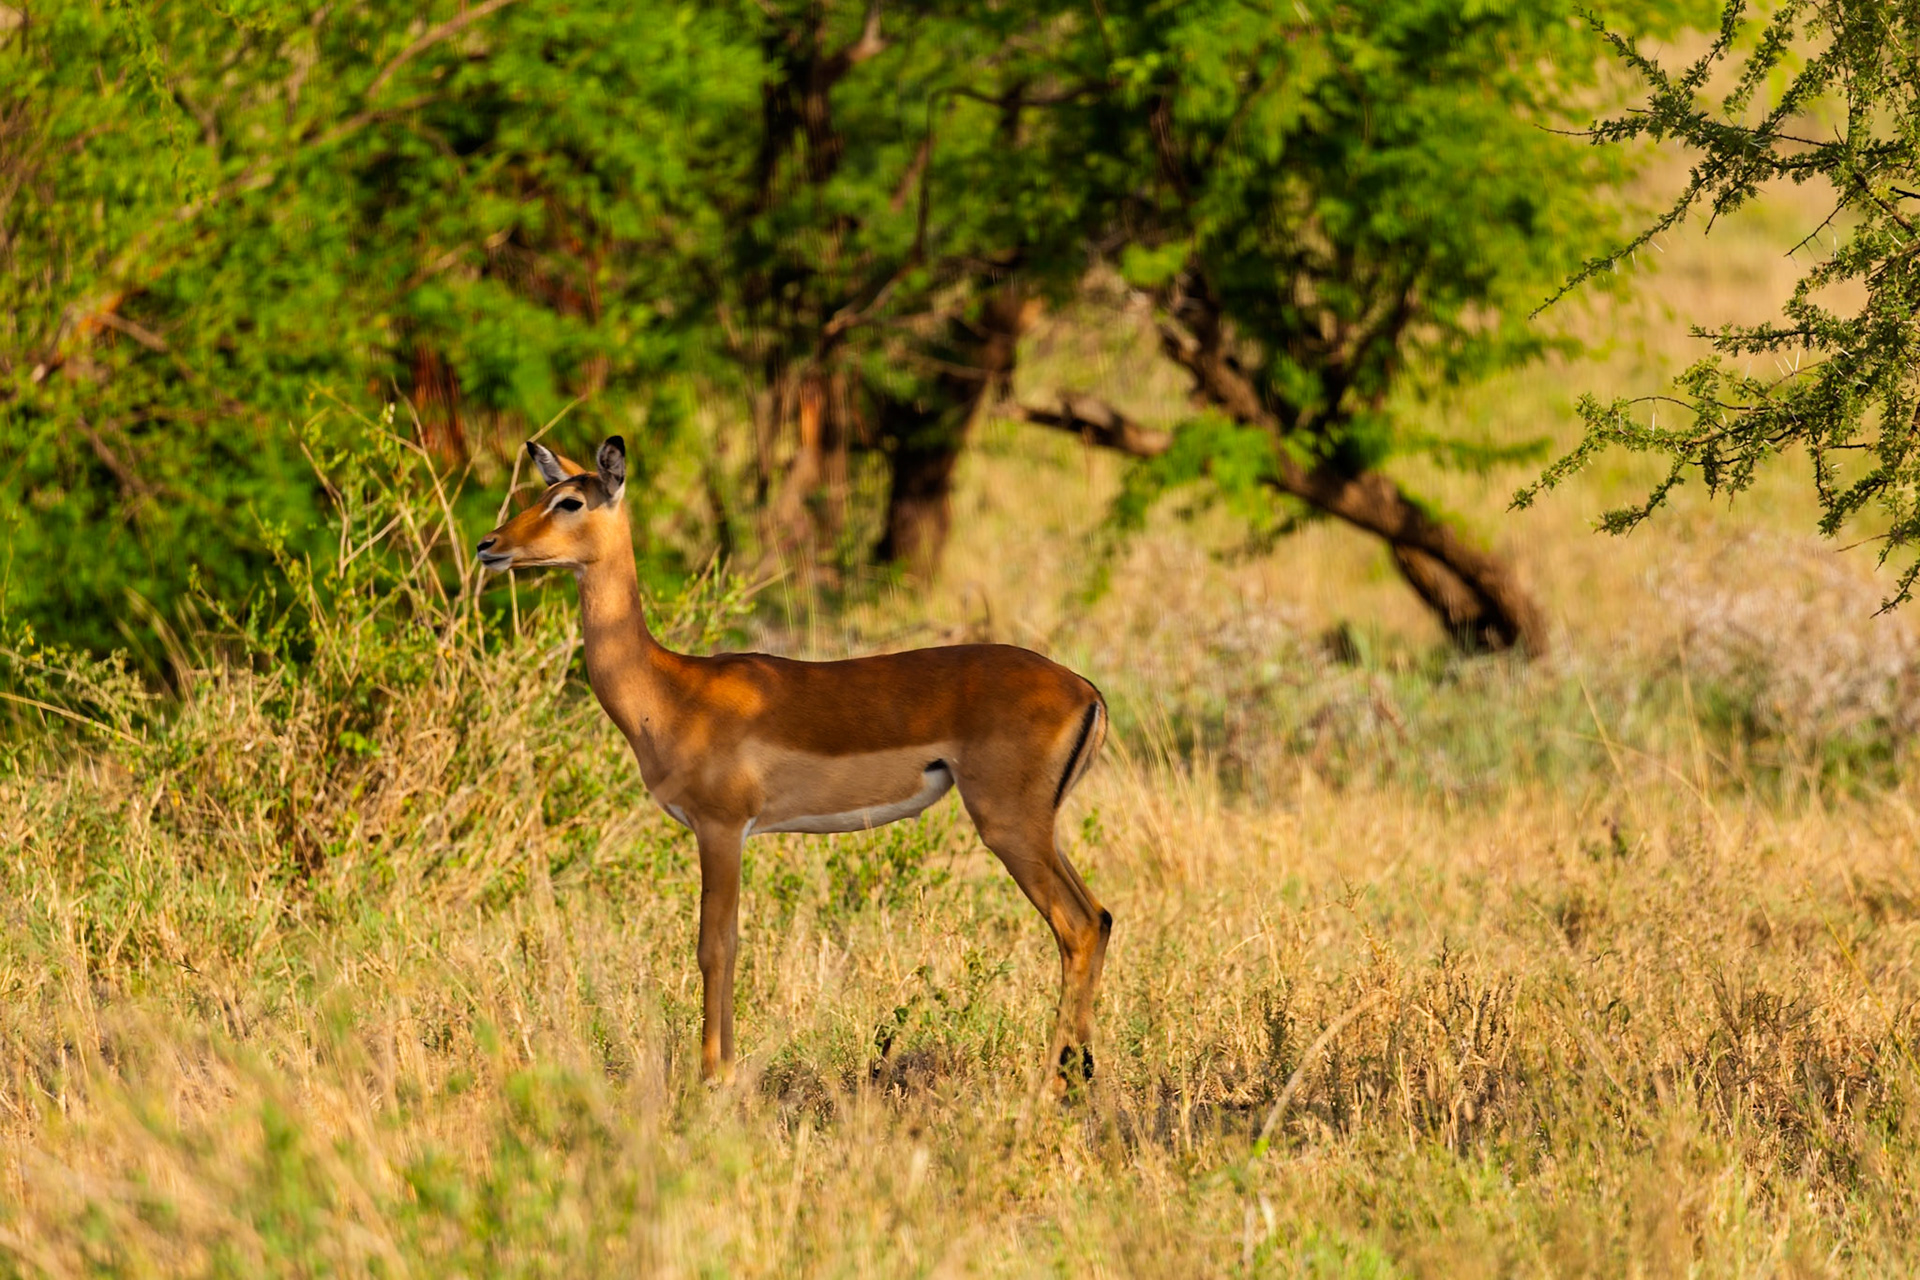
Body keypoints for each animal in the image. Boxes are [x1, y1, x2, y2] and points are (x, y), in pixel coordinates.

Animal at [476, 437, 1113, 1090]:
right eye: (544, 492)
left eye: (570, 502)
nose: (489, 545)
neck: (671, 689)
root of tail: (1085, 689)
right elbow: (731, 942)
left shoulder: (721, 828)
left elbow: (714, 945)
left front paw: (713, 1075)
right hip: (1037, 829)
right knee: (1101, 917)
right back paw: (1080, 1073)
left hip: (1008, 825)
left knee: (1077, 925)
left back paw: (1053, 1082)